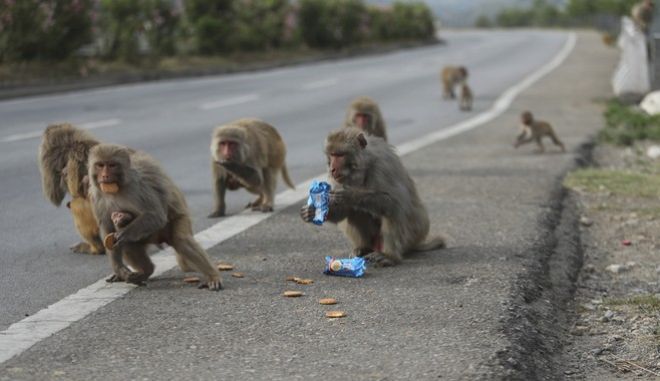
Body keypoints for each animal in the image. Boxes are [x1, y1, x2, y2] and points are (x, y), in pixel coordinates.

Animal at [87, 144, 223, 290]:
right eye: (100, 165)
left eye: (112, 165)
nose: (105, 175)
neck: (118, 188)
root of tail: (159, 239)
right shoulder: (96, 196)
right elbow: (108, 230)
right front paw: (119, 269)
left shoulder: (139, 186)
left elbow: (156, 216)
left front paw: (122, 235)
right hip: (145, 236)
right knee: (129, 241)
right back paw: (146, 270)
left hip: (178, 219)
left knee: (181, 240)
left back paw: (213, 276)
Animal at [300, 126, 444, 266]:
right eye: (332, 155)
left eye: (340, 155)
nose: (332, 169)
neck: (363, 166)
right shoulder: (337, 179)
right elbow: (343, 210)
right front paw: (313, 211)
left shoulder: (383, 166)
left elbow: (394, 201)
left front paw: (350, 195)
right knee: (355, 212)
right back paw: (364, 248)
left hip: (411, 236)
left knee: (392, 212)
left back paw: (390, 257)